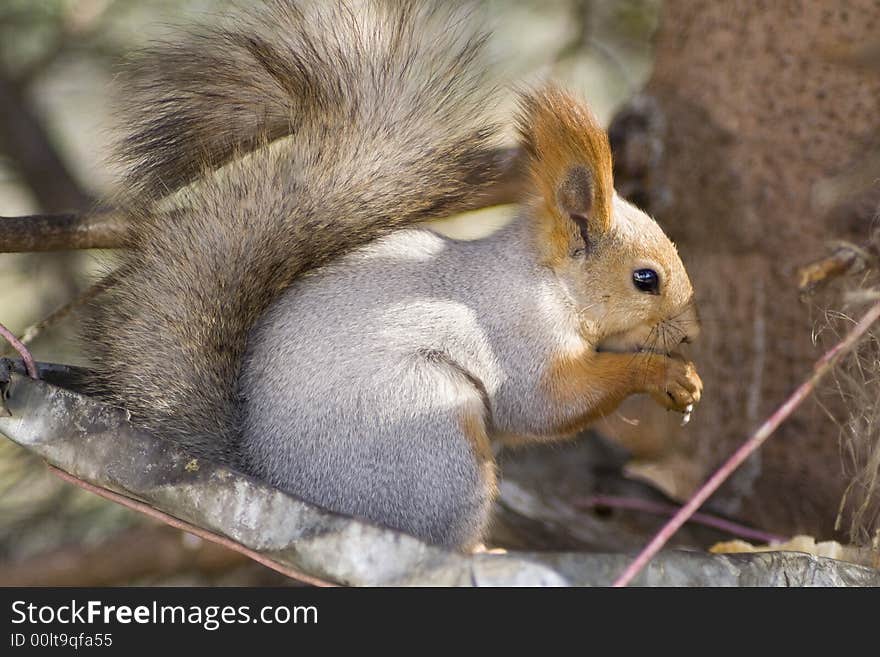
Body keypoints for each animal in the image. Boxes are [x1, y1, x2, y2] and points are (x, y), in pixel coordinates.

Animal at [82, 1, 700, 548]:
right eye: (646, 279)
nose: (692, 334)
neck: (546, 282)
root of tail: (272, 480)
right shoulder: (517, 338)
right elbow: (547, 404)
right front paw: (661, 373)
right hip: (430, 436)